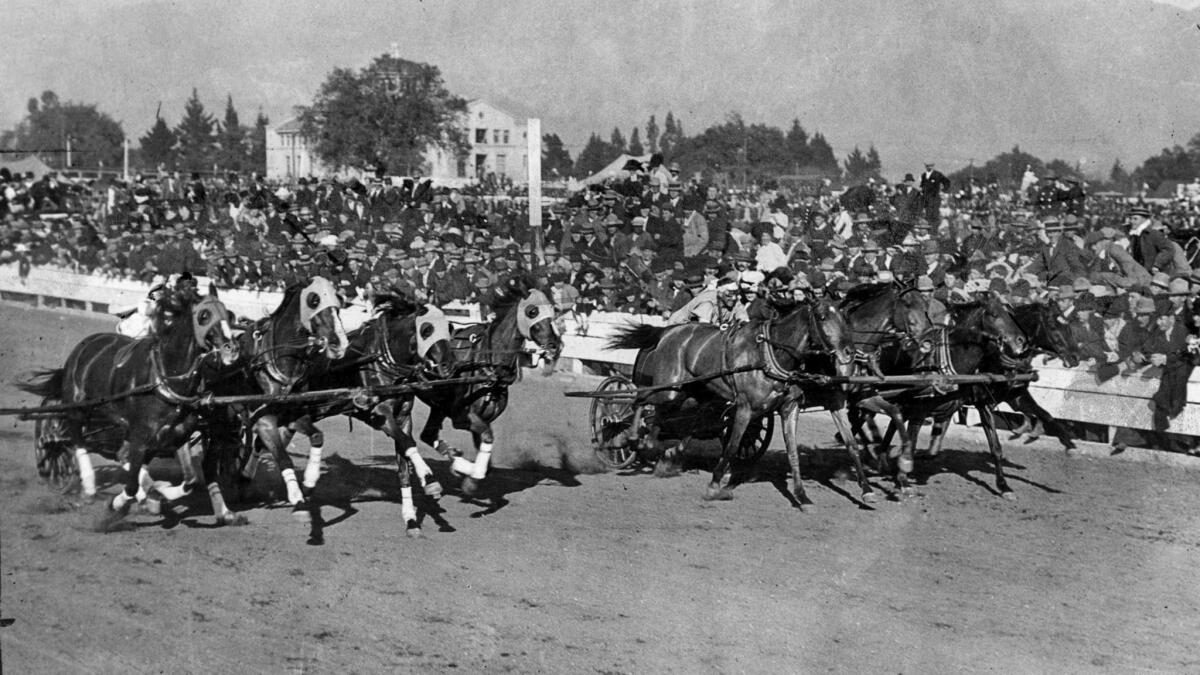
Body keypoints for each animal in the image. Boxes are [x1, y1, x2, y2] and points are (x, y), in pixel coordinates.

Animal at [15, 281, 241, 528]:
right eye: (204, 315)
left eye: (228, 314)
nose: (232, 349)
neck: (164, 379)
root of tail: (84, 345)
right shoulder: (141, 436)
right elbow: (131, 483)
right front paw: (120, 503)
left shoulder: (177, 434)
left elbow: (189, 479)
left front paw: (162, 493)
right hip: (76, 408)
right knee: (77, 441)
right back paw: (88, 485)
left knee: (120, 454)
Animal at [204, 276, 348, 516]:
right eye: (314, 300)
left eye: (339, 303)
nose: (340, 344)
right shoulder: (264, 421)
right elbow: (283, 458)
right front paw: (297, 497)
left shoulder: (293, 415)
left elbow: (317, 437)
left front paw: (309, 482)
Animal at [279, 294, 453, 535]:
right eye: (426, 330)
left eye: (449, 327)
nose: (448, 366)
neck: (380, 361)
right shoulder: (379, 413)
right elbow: (408, 443)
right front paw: (429, 478)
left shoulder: (403, 417)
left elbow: (404, 463)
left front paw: (411, 519)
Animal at [412, 271, 561, 494]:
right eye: (532, 311)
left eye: (553, 310)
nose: (555, 345)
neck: (486, 362)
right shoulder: (462, 417)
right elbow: (488, 438)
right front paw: (470, 476)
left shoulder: (483, 419)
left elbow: (487, 456)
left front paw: (467, 474)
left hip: (438, 407)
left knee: (427, 435)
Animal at [609, 296, 854, 502]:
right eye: (822, 317)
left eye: (843, 317)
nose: (848, 352)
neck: (769, 356)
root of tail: (666, 332)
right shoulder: (745, 408)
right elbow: (732, 446)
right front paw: (714, 485)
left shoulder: (789, 408)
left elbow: (793, 451)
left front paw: (801, 495)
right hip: (668, 390)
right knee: (639, 401)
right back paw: (624, 437)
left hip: (691, 394)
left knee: (669, 418)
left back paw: (654, 448)